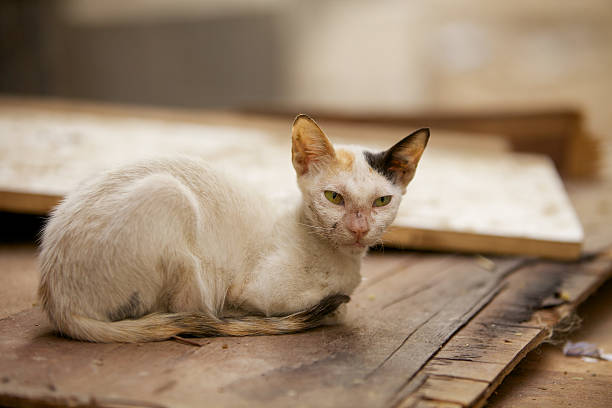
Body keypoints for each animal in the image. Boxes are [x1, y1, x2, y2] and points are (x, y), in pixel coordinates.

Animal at [38, 115, 430, 342]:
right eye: (334, 197)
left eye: (381, 201)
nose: (359, 228)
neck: (345, 261)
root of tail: (58, 304)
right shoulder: (254, 290)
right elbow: (331, 305)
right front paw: (333, 309)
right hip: (170, 196)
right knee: (197, 314)